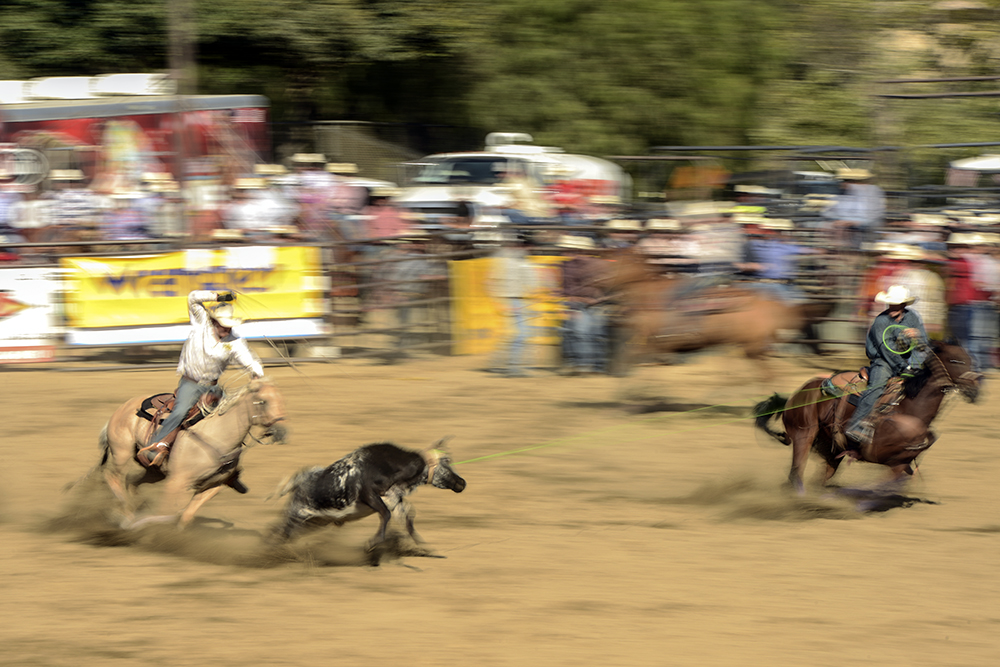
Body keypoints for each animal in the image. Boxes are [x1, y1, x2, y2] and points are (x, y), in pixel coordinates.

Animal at [97, 378, 288, 528]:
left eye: (281, 399)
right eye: (263, 401)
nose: (281, 432)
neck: (218, 434)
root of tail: (121, 409)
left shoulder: (213, 485)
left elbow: (186, 515)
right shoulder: (176, 482)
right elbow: (165, 511)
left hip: (154, 471)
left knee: (131, 483)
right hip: (121, 453)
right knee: (113, 477)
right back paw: (127, 517)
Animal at [268, 440, 466, 544]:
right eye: (446, 463)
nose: (462, 482)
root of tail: (299, 482)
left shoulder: (395, 500)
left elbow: (407, 518)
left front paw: (421, 545)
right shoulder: (370, 495)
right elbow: (386, 515)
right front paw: (375, 542)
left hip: (314, 521)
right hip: (296, 516)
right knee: (282, 533)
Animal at [596, 248, 832, 378]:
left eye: (612, 261)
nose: (598, 282)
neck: (648, 295)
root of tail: (771, 304)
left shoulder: (653, 342)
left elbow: (633, 356)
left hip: (751, 346)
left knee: (765, 374)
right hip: (746, 345)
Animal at [752, 342, 980, 494]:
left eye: (970, 359)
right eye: (955, 360)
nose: (976, 391)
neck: (907, 407)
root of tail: (796, 394)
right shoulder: (885, 455)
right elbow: (890, 476)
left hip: (830, 447)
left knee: (817, 477)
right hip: (803, 434)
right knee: (796, 474)